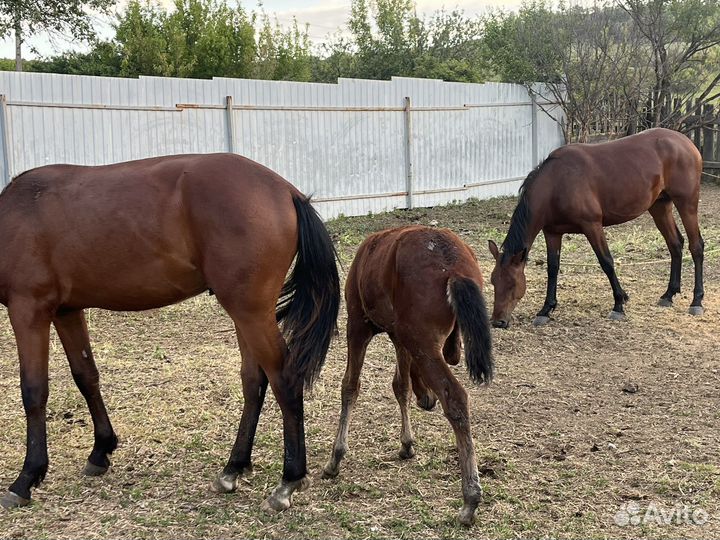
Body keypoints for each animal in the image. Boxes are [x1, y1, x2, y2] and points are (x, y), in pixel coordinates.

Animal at [0, 153, 340, 513]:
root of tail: (286, 191)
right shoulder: (67, 312)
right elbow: (86, 376)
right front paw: (101, 450)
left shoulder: (29, 310)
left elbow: (34, 391)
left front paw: (26, 477)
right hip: (245, 313)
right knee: (254, 381)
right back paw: (233, 468)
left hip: (251, 313)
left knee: (283, 379)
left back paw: (289, 480)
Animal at [321, 225, 494, 526]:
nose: (427, 400)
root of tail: (453, 265)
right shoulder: (399, 336)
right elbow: (400, 386)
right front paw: (407, 444)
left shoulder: (358, 325)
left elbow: (350, 386)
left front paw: (336, 457)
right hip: (421, 339)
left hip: (418, 342)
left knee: (456, 398)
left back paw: (470, 498)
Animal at [488, 127, 704, 328]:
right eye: (493, 281)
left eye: (512, 284)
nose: (498, 322)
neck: (557, 183)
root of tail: (686, 142)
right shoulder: (552, 232)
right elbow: (553, 268)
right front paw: (546, 309)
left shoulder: (592, 225)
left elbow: (606, 262)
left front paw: (619, 304)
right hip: (660, 206)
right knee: (675, 244)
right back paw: (668, 294)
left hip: (686, 203)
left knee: (696, 246)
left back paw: (696, 301)